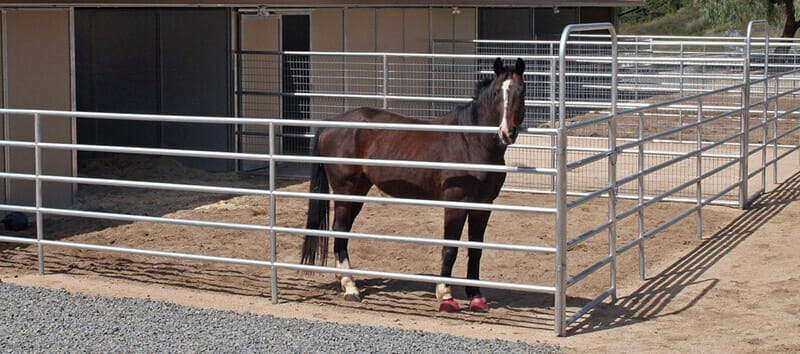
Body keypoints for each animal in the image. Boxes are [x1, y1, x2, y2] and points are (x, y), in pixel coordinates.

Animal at [300, 58, 524, 312]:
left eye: (521, 92)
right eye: (496, 93)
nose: (507, 132)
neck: (471, 142)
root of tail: (330, 125)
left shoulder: (483, 205)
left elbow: (476, 250)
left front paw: (476, 298)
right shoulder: (455, 204)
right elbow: (450, 248)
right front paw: (446, 296)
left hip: (358, 191)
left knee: (343, 229)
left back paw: (344, 281)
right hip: (344, 189)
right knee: (339, 228)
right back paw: (350, 288)